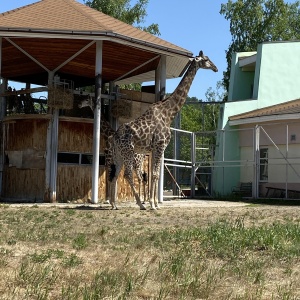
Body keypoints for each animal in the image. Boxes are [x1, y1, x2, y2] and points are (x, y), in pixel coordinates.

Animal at [109, 50, 217, 210]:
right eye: (206, 59)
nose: (216, 68)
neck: (169, 114)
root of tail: (115, 136)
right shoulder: (160, 145)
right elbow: (154, 174)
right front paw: (153, 205)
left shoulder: (156, 148)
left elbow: (156, 174)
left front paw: (155, 203)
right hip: (128, 152)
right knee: (127, 175)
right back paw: (140, 204)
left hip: (119, 154)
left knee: (115, 174)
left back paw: (114, 205)